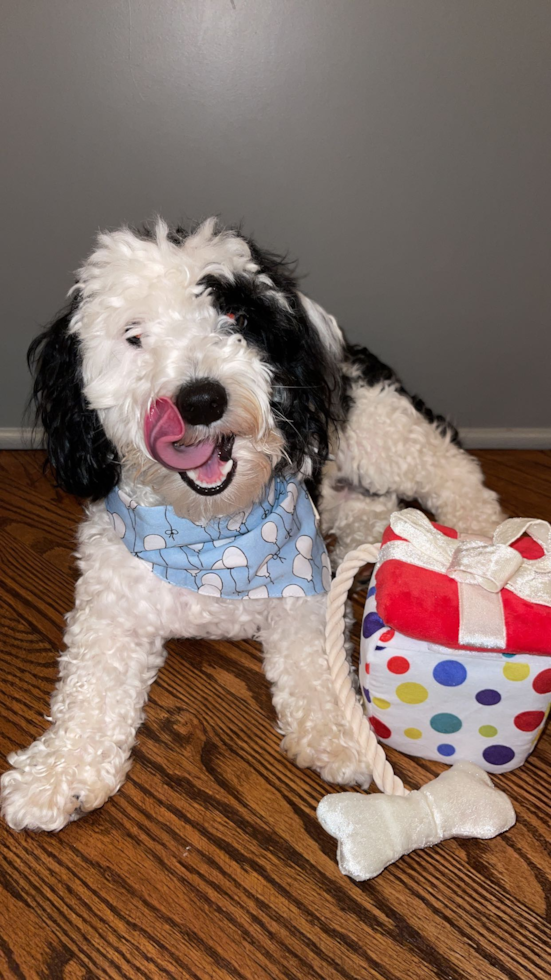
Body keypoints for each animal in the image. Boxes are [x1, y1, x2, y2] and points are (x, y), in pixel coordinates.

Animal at [0, 218, 504, 832]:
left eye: (235, 317)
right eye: (133, 335)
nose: (200, 399)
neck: (212, 532)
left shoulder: (306, 595)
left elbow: (317, 664)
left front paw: (340, 733)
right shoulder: (110, 611)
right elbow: (88, 687)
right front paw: (58, 773)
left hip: (383, 436)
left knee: (455, 472)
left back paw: (483, 543)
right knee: (372, 508)